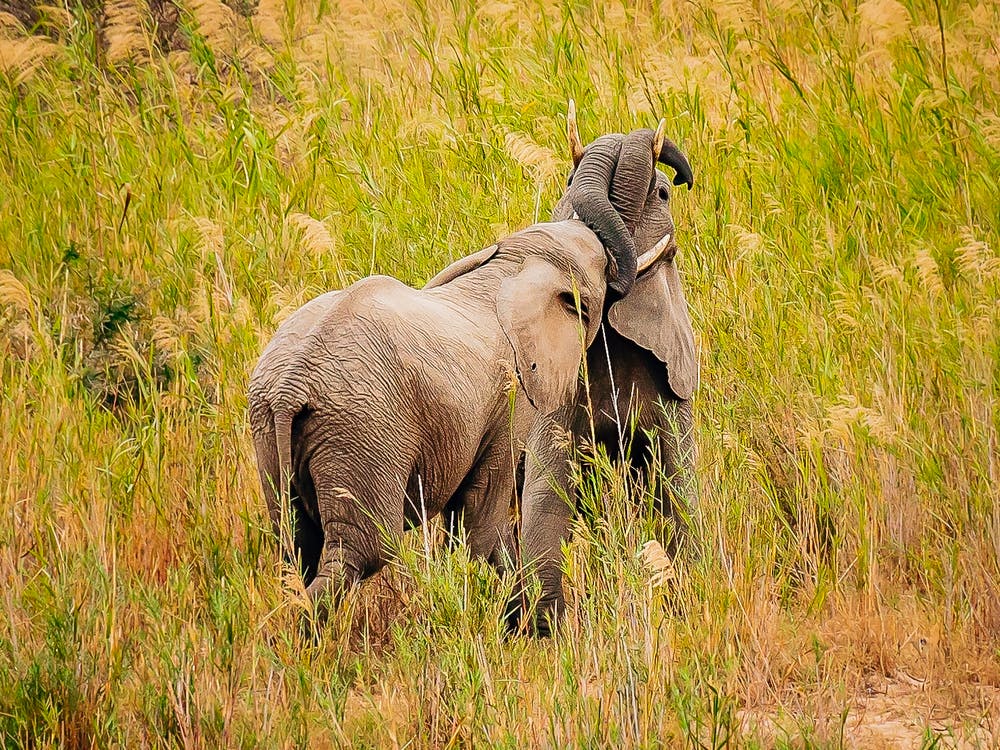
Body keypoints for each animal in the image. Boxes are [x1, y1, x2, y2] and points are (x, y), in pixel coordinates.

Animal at [248, 219, 671, 617]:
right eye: (600, 265)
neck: (511, 266)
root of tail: (291, 385)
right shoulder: (511, 398)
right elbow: (481, 519)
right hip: (360, 433)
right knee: (362, 551)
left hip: (269, 427)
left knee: (297, 545)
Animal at [505, 106, 698, 636]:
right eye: (568, 182)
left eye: (663, 194)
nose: (684, 175)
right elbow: (547, 494)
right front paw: (547, 631)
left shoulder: (674, 385)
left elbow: (680, 490)